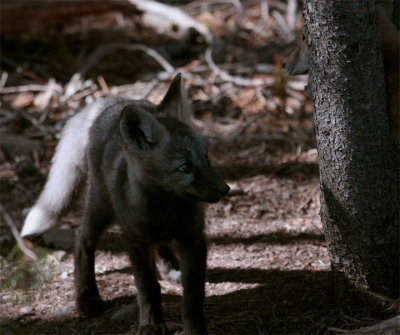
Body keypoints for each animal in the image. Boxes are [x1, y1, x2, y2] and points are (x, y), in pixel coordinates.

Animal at [20, 74, 230, 335]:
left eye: (207, 159)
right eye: (184, 167)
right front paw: (151, 324)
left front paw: (194, 329)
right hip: (102, 209)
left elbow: (193, 295)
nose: (225, 189)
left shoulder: (194, 239)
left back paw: (169, 268)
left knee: (159, 246)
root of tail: (112, 101)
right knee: (81, 240)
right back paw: (87, 296)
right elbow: (147, 287)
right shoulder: (135, 241)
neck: (164, 211)